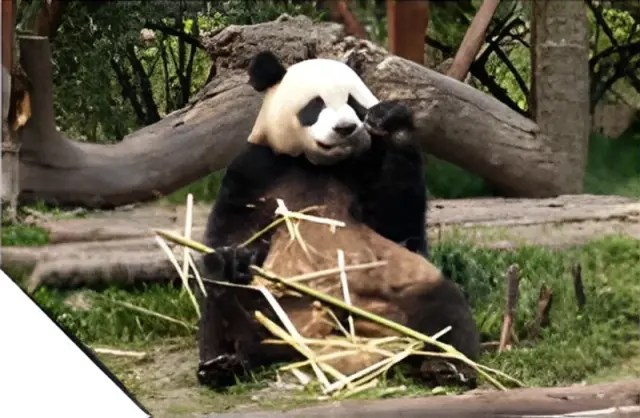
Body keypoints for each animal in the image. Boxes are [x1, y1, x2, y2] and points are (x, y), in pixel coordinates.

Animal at [196, 50, 480, 390]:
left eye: (354, 103)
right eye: (315, 105)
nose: (345, 128)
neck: (316, 164)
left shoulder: (365, 166)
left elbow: (397, 221)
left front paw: (393, 122)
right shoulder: (258, 167)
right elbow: (236, 227)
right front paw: (233, 257)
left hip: (400, 290)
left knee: (445, 307)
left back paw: (448, 366)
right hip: (279, 304)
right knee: (223, 300)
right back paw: (224, 362)